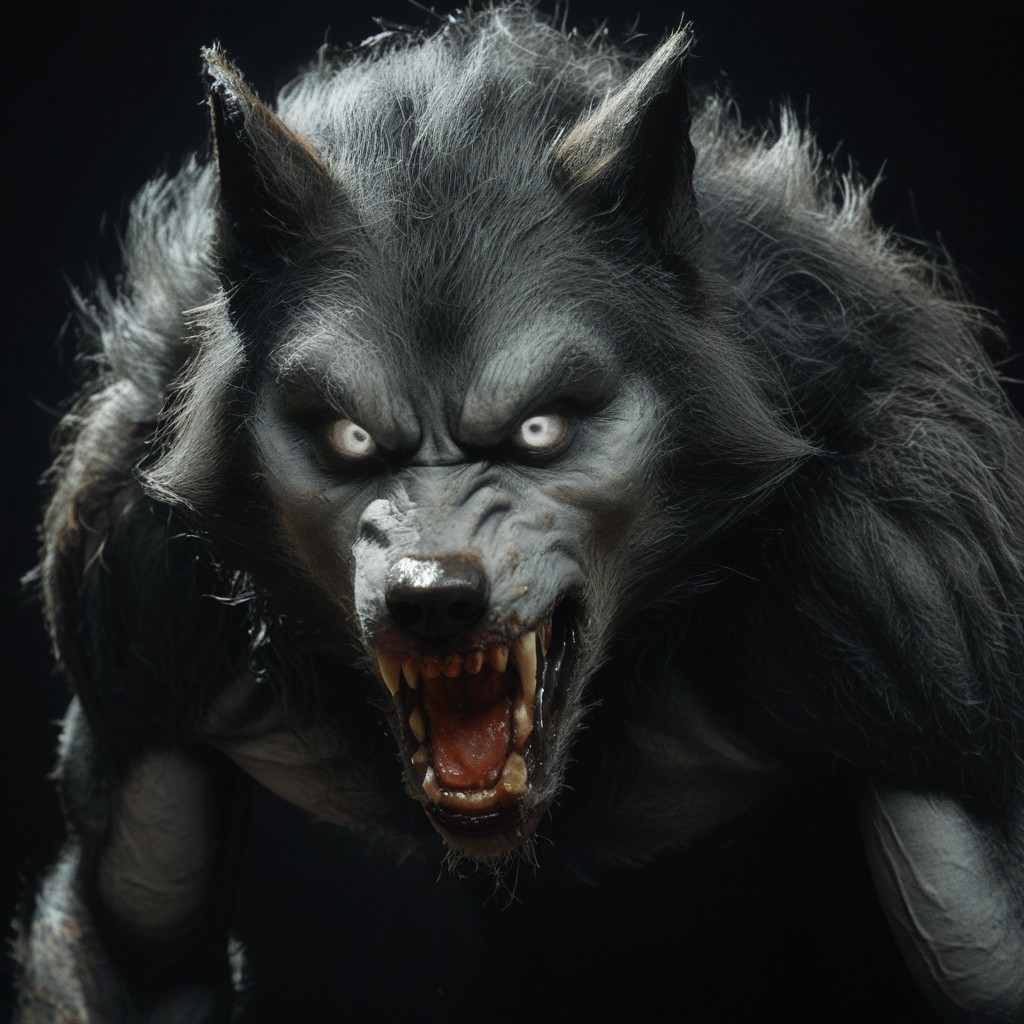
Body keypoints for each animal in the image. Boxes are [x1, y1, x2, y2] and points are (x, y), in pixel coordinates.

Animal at [15, 5, 1024, 1022]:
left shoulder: (909, 603)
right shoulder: (130, 610)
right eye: (350, 438)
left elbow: (975, 938)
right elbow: (139, 945)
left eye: (540, 430)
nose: (433, 596)